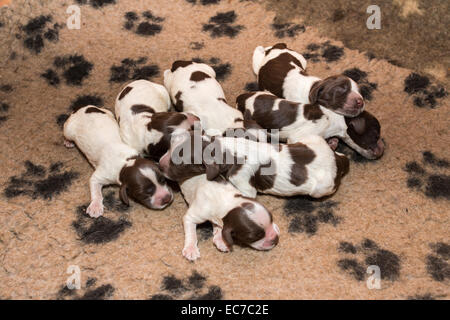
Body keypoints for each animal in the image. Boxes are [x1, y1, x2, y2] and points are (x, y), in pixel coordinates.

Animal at [159, 131, 352, 199]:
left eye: (178, 164)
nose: (159, 165)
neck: (226, 150)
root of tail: (338, 162)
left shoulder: (243, 183)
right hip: (309, 139)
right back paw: (333, 143)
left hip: (321, 188)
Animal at [236, 90, 384, 159]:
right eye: (376, 135)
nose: (383, 150)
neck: (336, 118)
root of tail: (240, 98)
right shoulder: (296, 137)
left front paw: (333, 142)